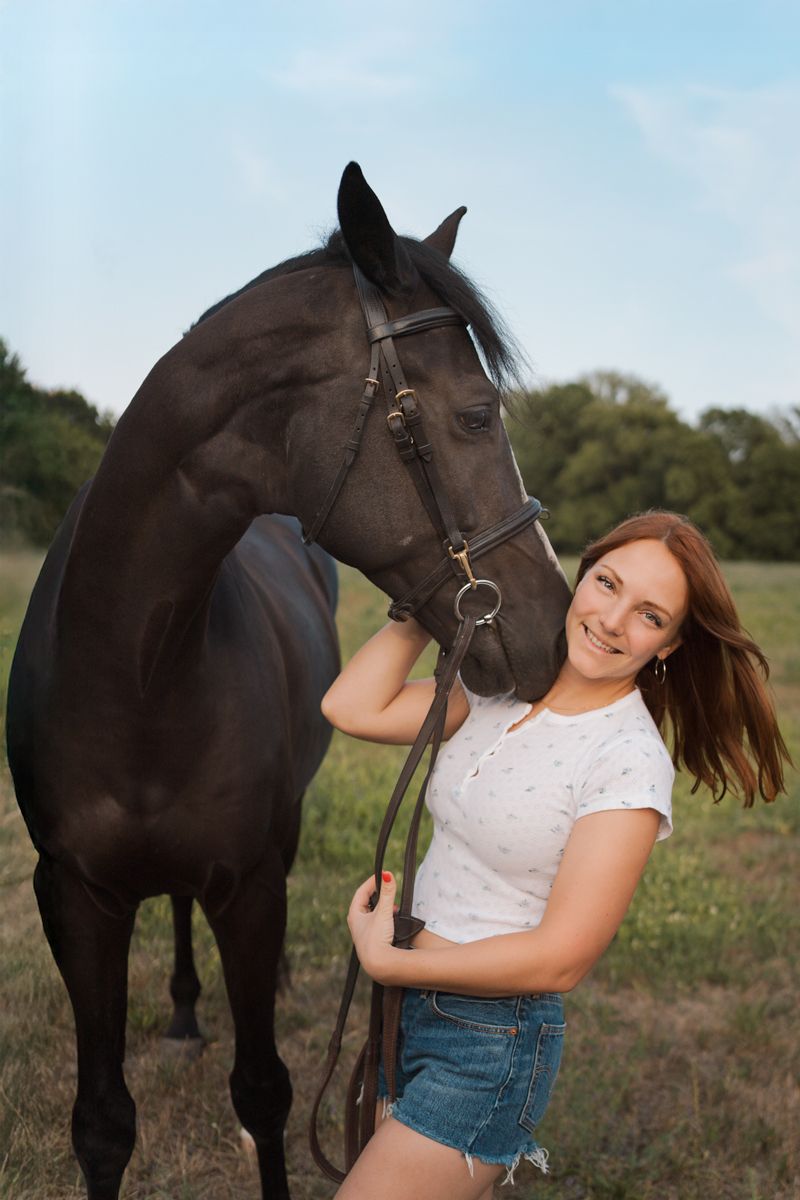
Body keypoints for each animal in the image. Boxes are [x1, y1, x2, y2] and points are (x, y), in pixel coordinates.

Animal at [5, 161, 572, 1200]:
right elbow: (102, 1123)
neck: (133, 672)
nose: (556, 630)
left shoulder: (250, 886)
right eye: (477, 413)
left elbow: (263, 1091)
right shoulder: (73, 897)